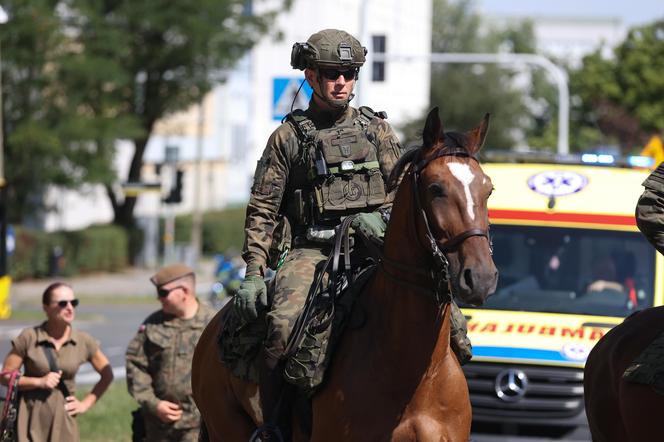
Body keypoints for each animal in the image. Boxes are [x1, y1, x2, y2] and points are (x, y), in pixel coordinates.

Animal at [192, 108, 498, 442]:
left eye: (488, 188)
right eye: (436, 188)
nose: (480, 278)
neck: (416, 373)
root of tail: (210, 329)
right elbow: (264, 205)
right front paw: (252, 286)